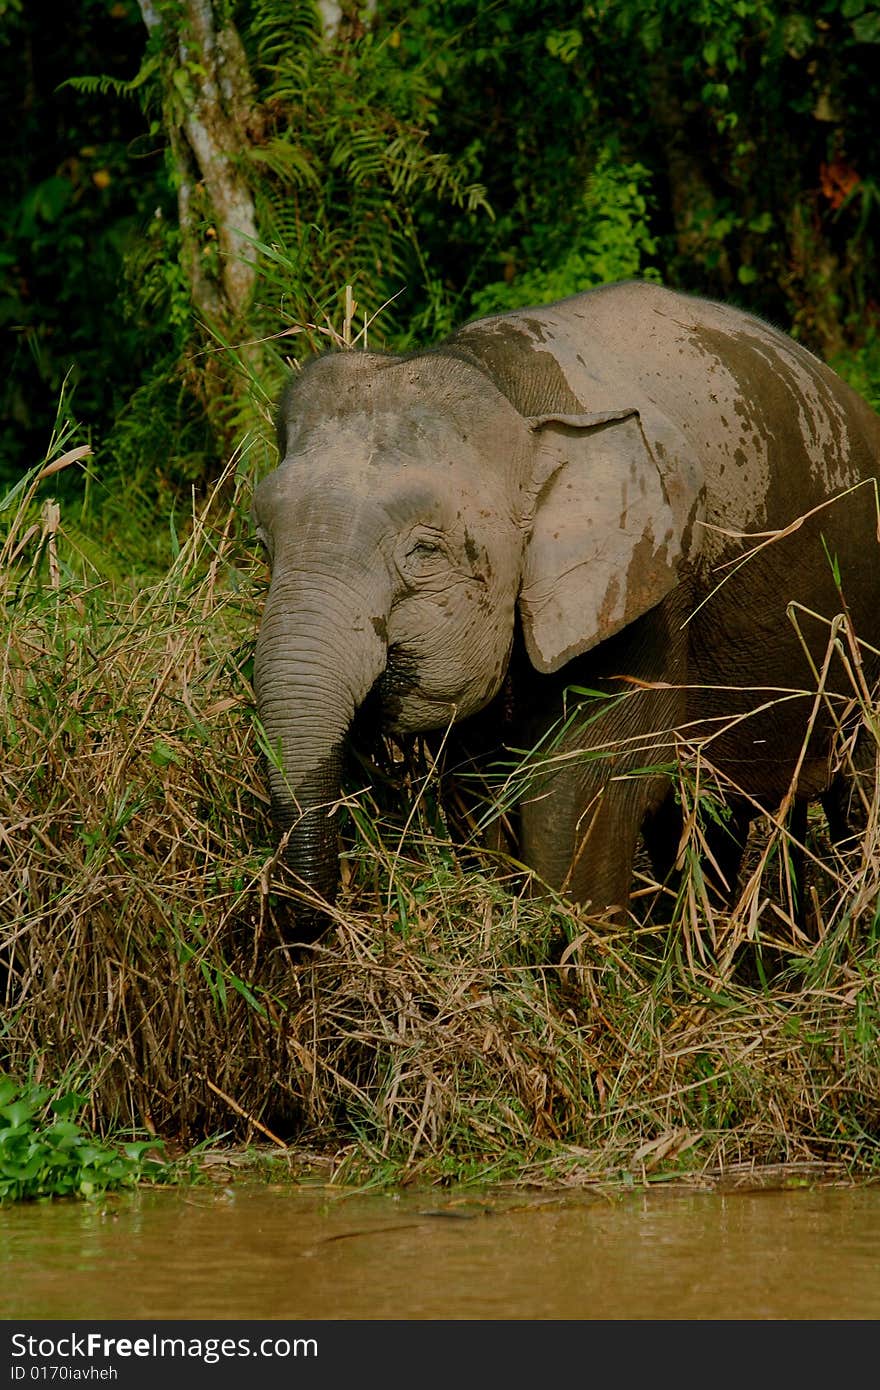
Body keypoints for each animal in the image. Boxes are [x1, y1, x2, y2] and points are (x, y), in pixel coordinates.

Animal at [250, 279, 878, 934]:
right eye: (263, 544)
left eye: (425, 551)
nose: (306, 913)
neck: (506, 389)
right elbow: (479, 785)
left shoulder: (650, 591)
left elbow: (584, 785)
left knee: (851, 794)